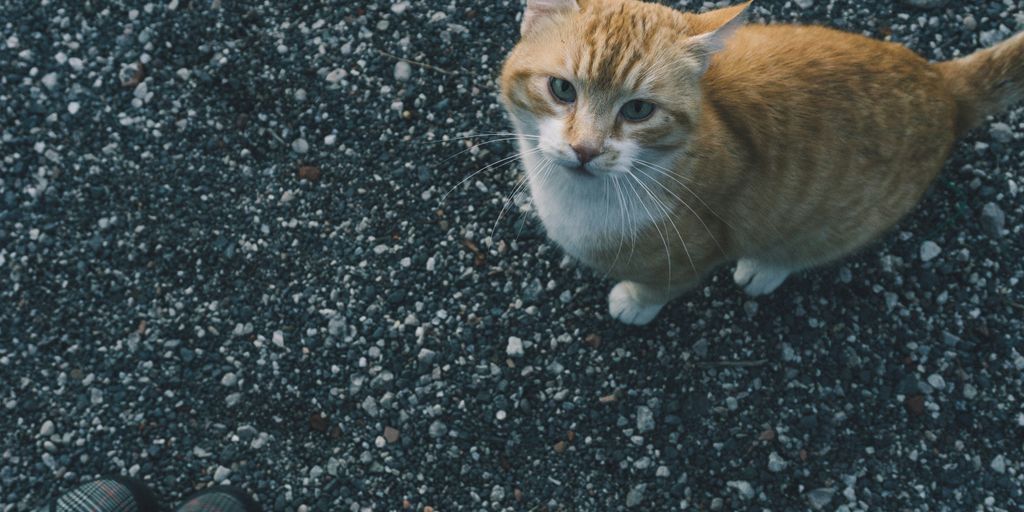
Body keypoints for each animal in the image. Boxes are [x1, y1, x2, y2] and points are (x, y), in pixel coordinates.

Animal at [497, 1, 1024, 323]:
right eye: (562, 89)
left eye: (639, 110)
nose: (585, 149)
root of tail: (941, 83)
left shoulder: (695, 254)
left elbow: (662, 284)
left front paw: (635, 302)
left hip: (835, 224)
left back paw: (764, 269)